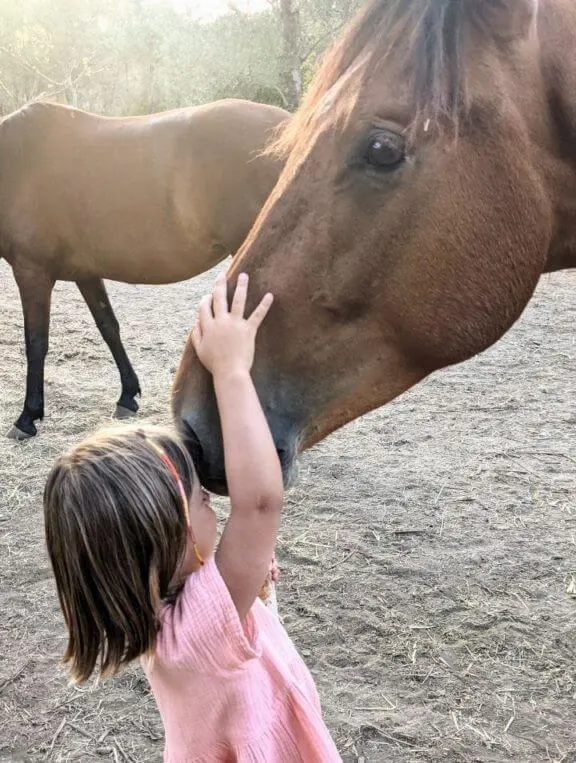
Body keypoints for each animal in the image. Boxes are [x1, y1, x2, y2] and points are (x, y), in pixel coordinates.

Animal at [1, 98, 288, 440]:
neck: (17, 163)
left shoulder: (32, 272)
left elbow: (36, 343)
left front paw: (27, 417)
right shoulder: (86, 273)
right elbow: (109, 327)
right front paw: (127, 395)